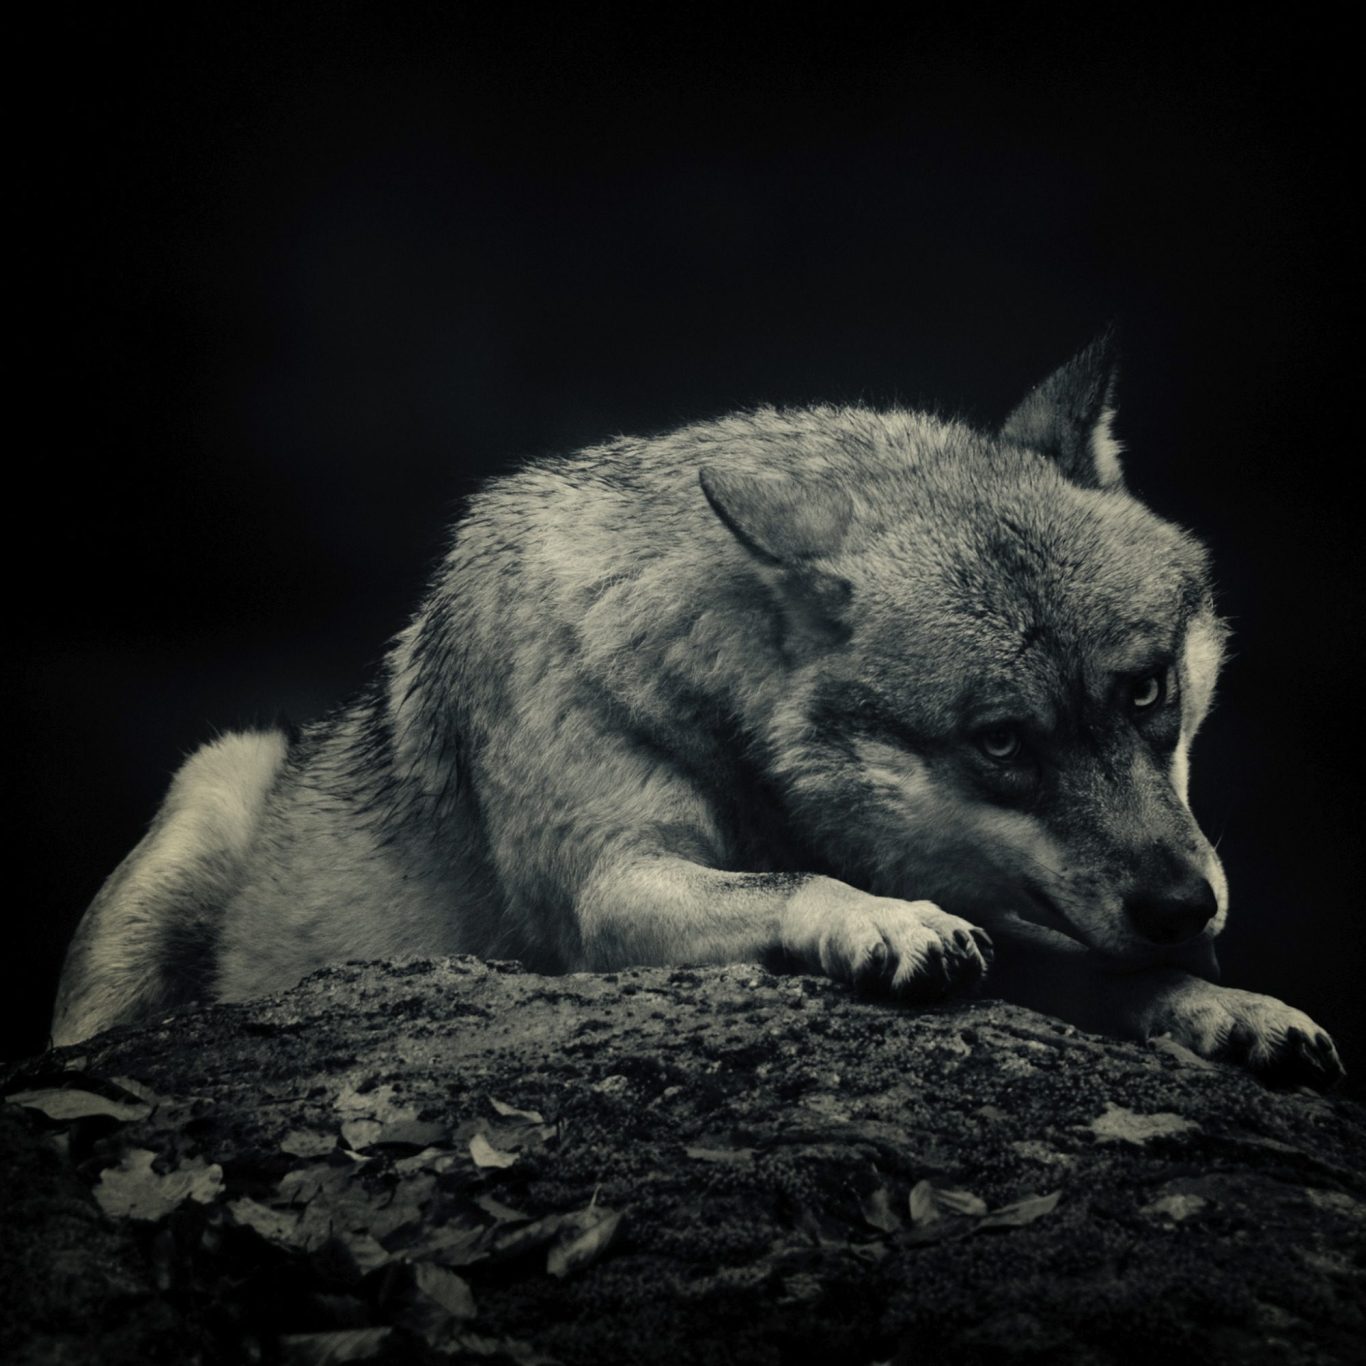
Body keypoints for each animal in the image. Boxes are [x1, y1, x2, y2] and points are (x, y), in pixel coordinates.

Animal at [53, 333, 1343, 1087]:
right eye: (1000, 742)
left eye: (1147, 689)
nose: (1184, 907)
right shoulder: (611, 894)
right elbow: (801, 885)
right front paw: (891, 923)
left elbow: (1098, 977)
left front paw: (1229, 1005)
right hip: (207, 793)